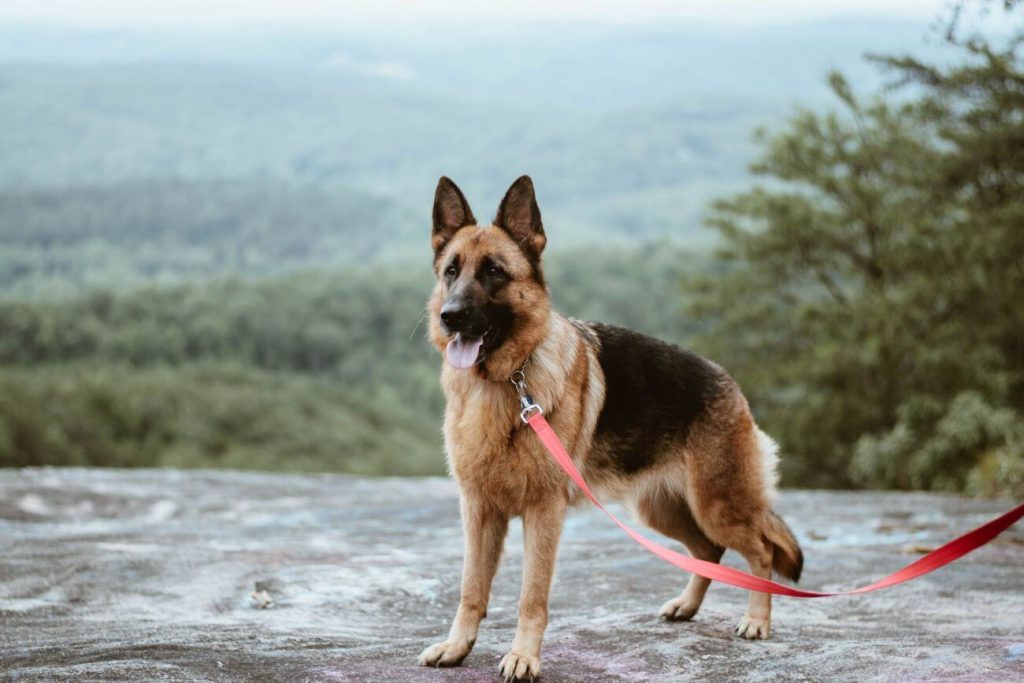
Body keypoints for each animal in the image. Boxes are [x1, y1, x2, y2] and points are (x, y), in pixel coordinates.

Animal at [415, 178, 798, 683]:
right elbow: (470, 589)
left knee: (760, 552)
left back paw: (757, 619)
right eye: (451, 272)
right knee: (709, 551)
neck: (507, 381)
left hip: (718, 506)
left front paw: (523, 656)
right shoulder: (479, 512)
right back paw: (687, 606)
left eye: (494, 272)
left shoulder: (543, 515)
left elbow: (531, 596)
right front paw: (458, 646)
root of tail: (729, 382)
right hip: (661, 511)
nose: (451, 316)